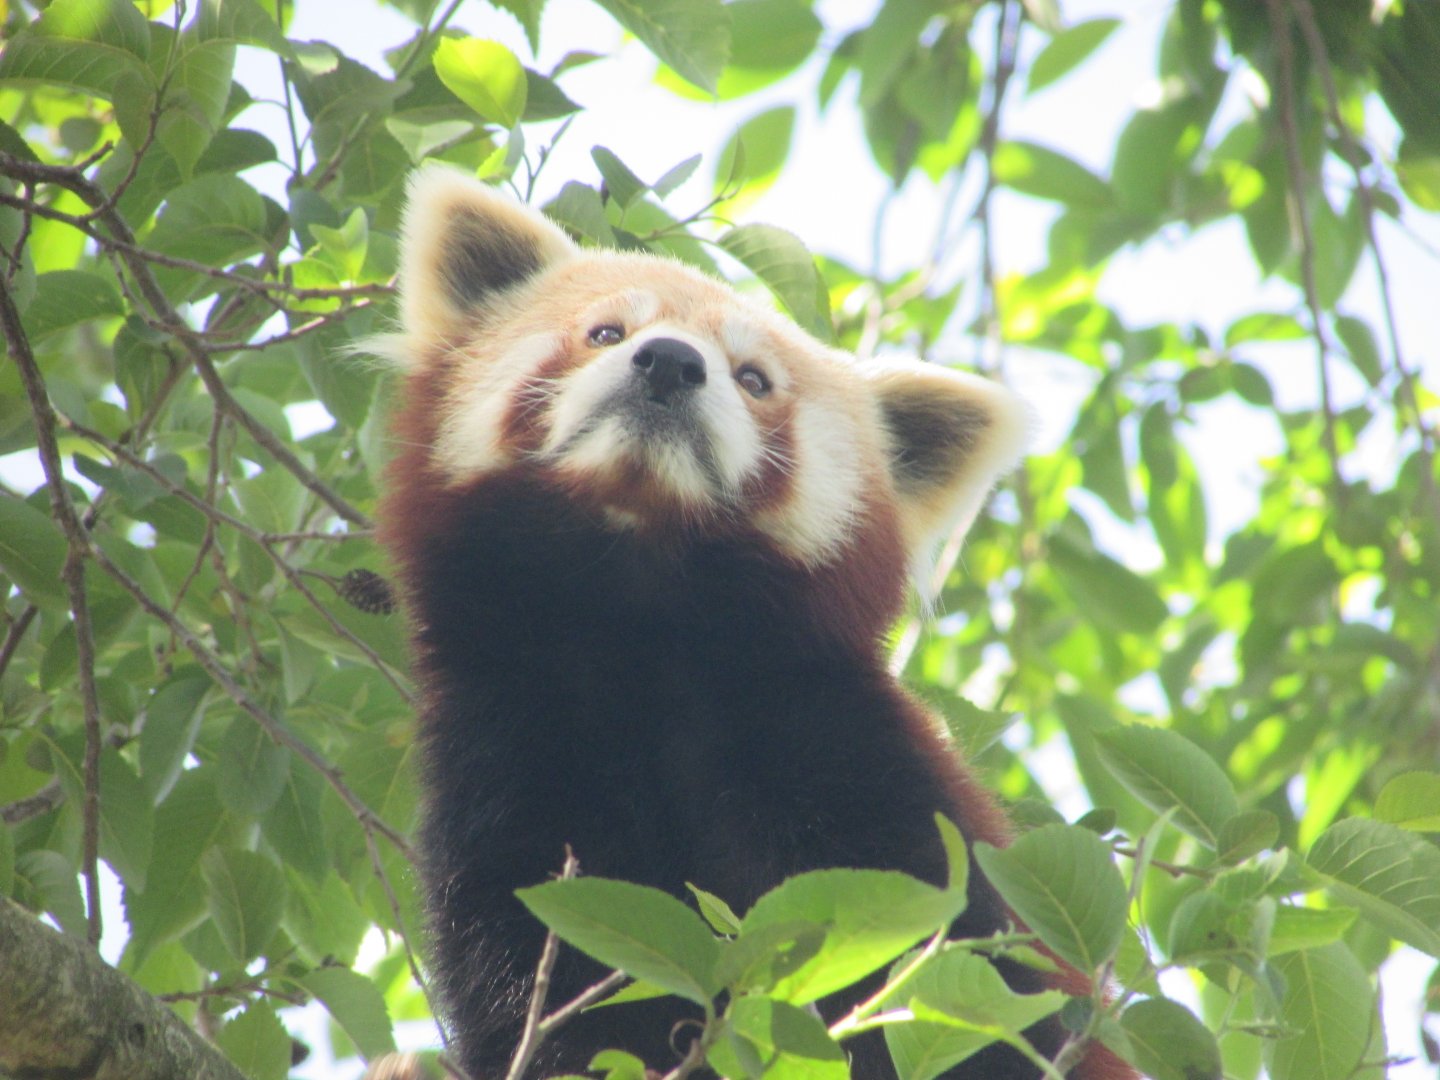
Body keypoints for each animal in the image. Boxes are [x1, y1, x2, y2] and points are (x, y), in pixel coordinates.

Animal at [375, 167, 1133, 1080]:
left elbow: (975, 991)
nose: (669, 362)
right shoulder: (510, 779)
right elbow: (548, 993)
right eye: (605, 331)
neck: (643, 620)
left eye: (754, 378)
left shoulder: (860, 775)